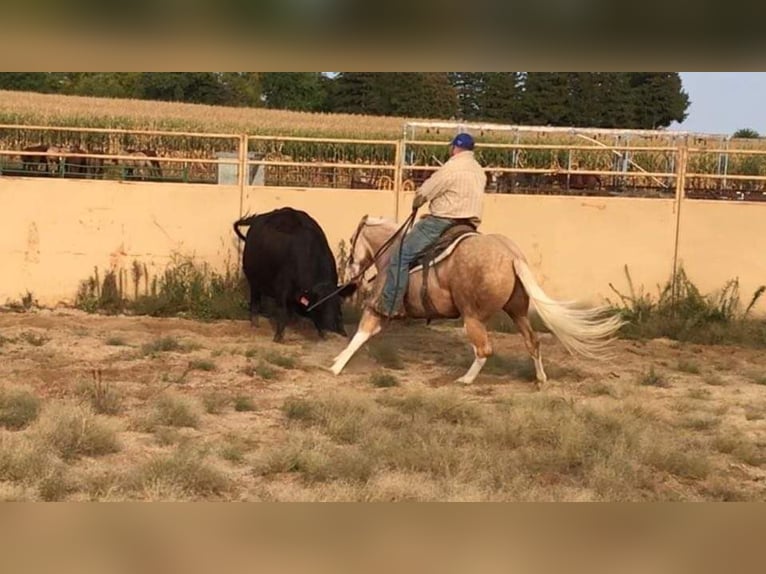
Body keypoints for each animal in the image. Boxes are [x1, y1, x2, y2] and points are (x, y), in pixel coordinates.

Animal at [234, 207, 356, 342]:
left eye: (337, 303)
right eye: (318, 305)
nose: (330, 326)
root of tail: (258, 219)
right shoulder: (281, 288)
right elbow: (282, 311)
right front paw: (278, 336)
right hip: (253, 281)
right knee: (255, 300)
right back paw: (255, 323)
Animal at [328, 218, 624, 390]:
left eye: (353, 241)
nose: (350, 271)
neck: (393, 252)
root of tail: (511, 255)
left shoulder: (379, 304)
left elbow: (362, 332)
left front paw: (336, 366)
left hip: (472, 316)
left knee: (484, 349)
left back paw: (466, 379)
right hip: (516, 311)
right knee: (532, 341)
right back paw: (540, 379)